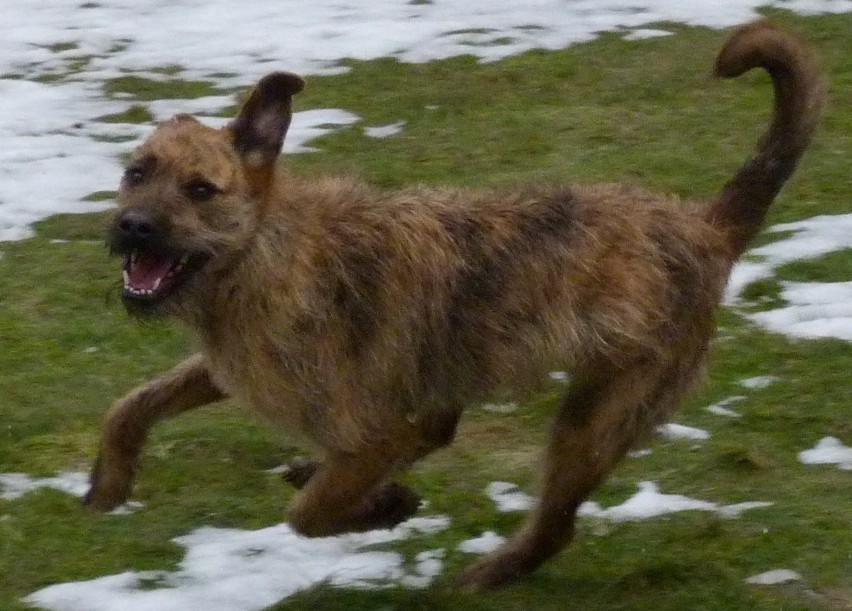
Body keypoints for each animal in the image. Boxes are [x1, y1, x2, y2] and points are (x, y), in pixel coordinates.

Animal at [83, 21, 824, 592]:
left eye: (201, 189)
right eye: (136, 173)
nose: (132, 227)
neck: (262, 256)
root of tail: (705, 226)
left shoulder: (385, 429)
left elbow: (311, 513)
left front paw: (387, 505)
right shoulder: (229, 368)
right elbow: (130, 403)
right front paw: (109, 483)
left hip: (596, 416)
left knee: (555, 523)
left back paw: (487, 572)